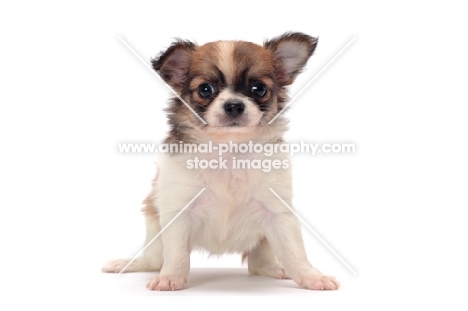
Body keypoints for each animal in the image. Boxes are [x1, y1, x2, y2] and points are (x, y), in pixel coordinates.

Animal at [103, 33, 340, 292]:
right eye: (205, 89)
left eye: (259, 89)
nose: (234, 104)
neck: (229, 151)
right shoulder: (178, 210)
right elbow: (176, 253)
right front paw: (171, 277)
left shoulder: (278, 213)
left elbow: (295, 251)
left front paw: (312, 276)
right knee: (154, 259)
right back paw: (127, 264)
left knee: (258, 263)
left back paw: (276, 269)